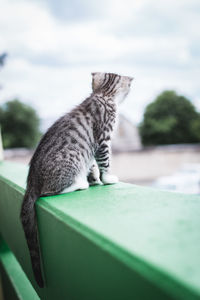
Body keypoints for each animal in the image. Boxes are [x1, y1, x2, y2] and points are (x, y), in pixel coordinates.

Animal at [20, 71, 133, 288]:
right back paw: (79, 184)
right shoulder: (103, 140)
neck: (103, 95)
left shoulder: (92, 152)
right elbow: (105, 161)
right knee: (48, 192)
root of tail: (31, 181)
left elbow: (94, 166)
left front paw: (96, 179)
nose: (131, 83)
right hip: (69, 162)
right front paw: (107, 178)